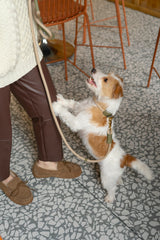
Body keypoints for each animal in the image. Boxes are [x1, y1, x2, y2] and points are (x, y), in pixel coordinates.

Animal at [52, 68, 152, 202]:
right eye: (107, 74)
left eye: (105, 79)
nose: (93, 69)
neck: (99, 106)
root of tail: (124, 158)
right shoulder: (78, 107)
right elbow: (71, 103)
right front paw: (61, 100)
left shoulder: (76, 122)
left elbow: (66, 114)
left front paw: (56, 106)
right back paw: (119, 180)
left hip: (106, 179)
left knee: (112, 188)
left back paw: (110, 198)